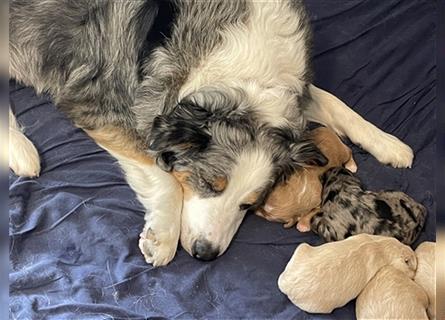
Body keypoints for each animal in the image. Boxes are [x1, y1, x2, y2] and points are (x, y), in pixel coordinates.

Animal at [8, 0, 412, 266]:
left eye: (251, 204)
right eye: (206, 184)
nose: (206, 254)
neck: (244, 75)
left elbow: (334, 102)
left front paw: (389, 144)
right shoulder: (95, 103)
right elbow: (162, 176)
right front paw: (162, 238)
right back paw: (20, 150)